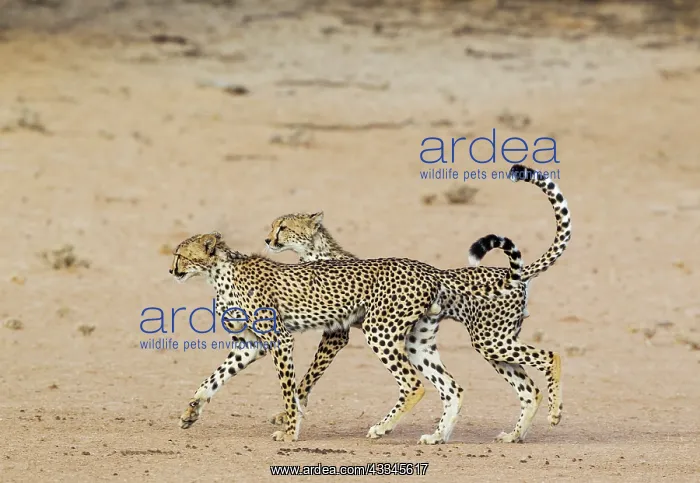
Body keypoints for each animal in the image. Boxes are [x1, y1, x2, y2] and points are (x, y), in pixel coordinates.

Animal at [170, 229, 529, 444]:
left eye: (181, 255)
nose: (171, 271)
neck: (218, 274)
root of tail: (430, 270)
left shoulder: (280, 340)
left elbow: (288, 389)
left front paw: (289, 431)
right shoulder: (251, 344)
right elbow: (213, 379)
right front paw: (191, 411)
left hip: (380, 330)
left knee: (413, 384)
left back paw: (383, 427)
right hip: (415, 339)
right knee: (450, 387)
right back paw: (436, 436)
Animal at [264, 164, 571, 443]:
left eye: (284, 227)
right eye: (272, 226)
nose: (267, 239)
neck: (316, 253)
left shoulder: (337, 333)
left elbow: (309, 374)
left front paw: (287, 412)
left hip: (468, 337)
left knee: (549, 357)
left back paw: (554, 412)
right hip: (463, 342)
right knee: (505, 389)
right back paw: (491, 435)